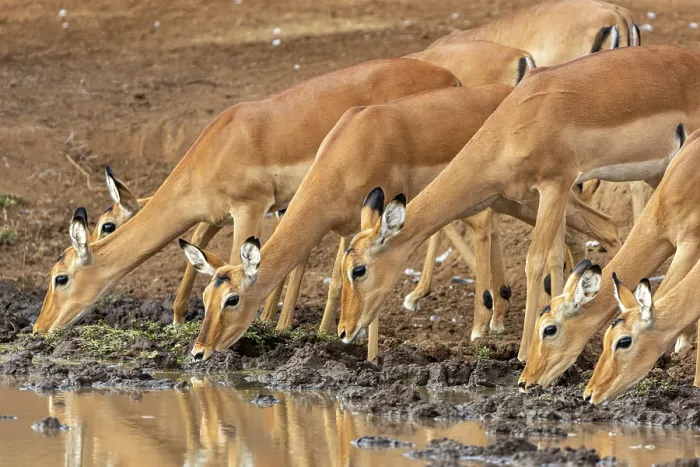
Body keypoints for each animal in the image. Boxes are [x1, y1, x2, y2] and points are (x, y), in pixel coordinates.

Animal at [82, 41, 538, 330]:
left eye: (107, 226)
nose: (55, 324)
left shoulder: (253, 206)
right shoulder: (270, 207)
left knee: (476, 224)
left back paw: (484, 317)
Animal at [179, 84, 620, 361]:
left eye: (232, 299)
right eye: (205, 299)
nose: (199, 351)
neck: (349, 145)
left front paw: (369, 359)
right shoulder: (352, 227)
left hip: (534, 197)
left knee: (598, 230)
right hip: (522, 202)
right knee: (588, 234)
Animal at [337, 45, 700, 364]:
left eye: (359, 269)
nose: (344, 331)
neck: (518, 120)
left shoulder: (555, 185)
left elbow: (535, 261)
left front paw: (523, 352)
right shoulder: (537, 195)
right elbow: (556, 256)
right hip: (657, 174)